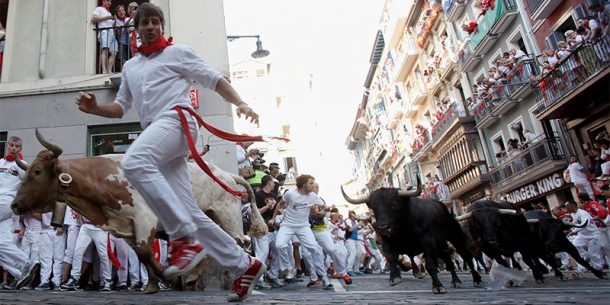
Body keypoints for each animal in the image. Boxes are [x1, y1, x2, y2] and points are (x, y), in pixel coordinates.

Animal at [10, 128, 266, 292]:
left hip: (228, 215)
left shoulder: (145, 219)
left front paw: (167, 277)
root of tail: (228, 175)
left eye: (37, 172)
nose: (14, 205)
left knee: (240, 241)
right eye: (28, 171)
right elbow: (142, 256)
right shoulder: (126, 228)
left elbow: (145, 253)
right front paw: (153, 285)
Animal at [342, 180, 480, 292]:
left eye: (394, 206)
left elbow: (430, 265)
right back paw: (455, 280)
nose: (383, 228)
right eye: (374, 208)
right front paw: (395, 277)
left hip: (454, 236)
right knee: (448, 260)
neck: (403, 230)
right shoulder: (387, 243)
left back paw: (476, 279)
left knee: (466, 256)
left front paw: (437, 285)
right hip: (442, 244)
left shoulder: (428, 242)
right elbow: (392, 259)